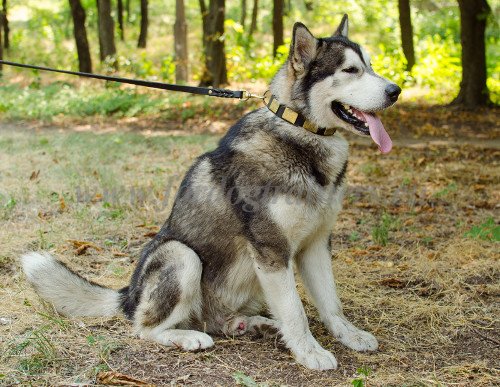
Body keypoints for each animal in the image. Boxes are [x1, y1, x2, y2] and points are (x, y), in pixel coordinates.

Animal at [21, 15, 400, 372]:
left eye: (370, 66)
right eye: (350, 70)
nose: (395, 90)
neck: (299, 132)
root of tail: (128, 296)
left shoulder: (316, 244)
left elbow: (330, 303)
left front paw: (349, 335)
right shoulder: (272, 251)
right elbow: (296, 312)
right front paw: (310, 353)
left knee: (220, 321)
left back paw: (253, 324)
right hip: (181, 255)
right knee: (145, 329)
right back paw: (188, 337)